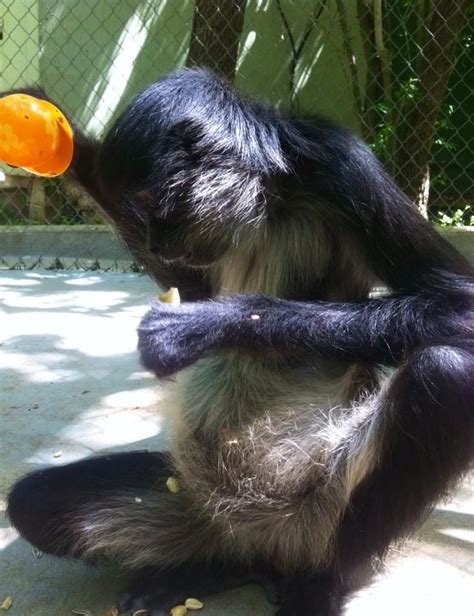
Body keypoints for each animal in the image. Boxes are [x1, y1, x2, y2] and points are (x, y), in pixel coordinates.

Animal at [4, 70, 474, 612]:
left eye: (151, 203)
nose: (156, 242)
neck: (269, 199)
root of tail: (258, 536)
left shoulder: (342, 164)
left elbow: (459, 305)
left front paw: (201, 326)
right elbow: (191, 284)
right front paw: (66, 137)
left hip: (317, 513)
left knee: (446, 374)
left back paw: (316, 583)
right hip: (193, 504)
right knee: (34, 503)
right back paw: (210, 570)